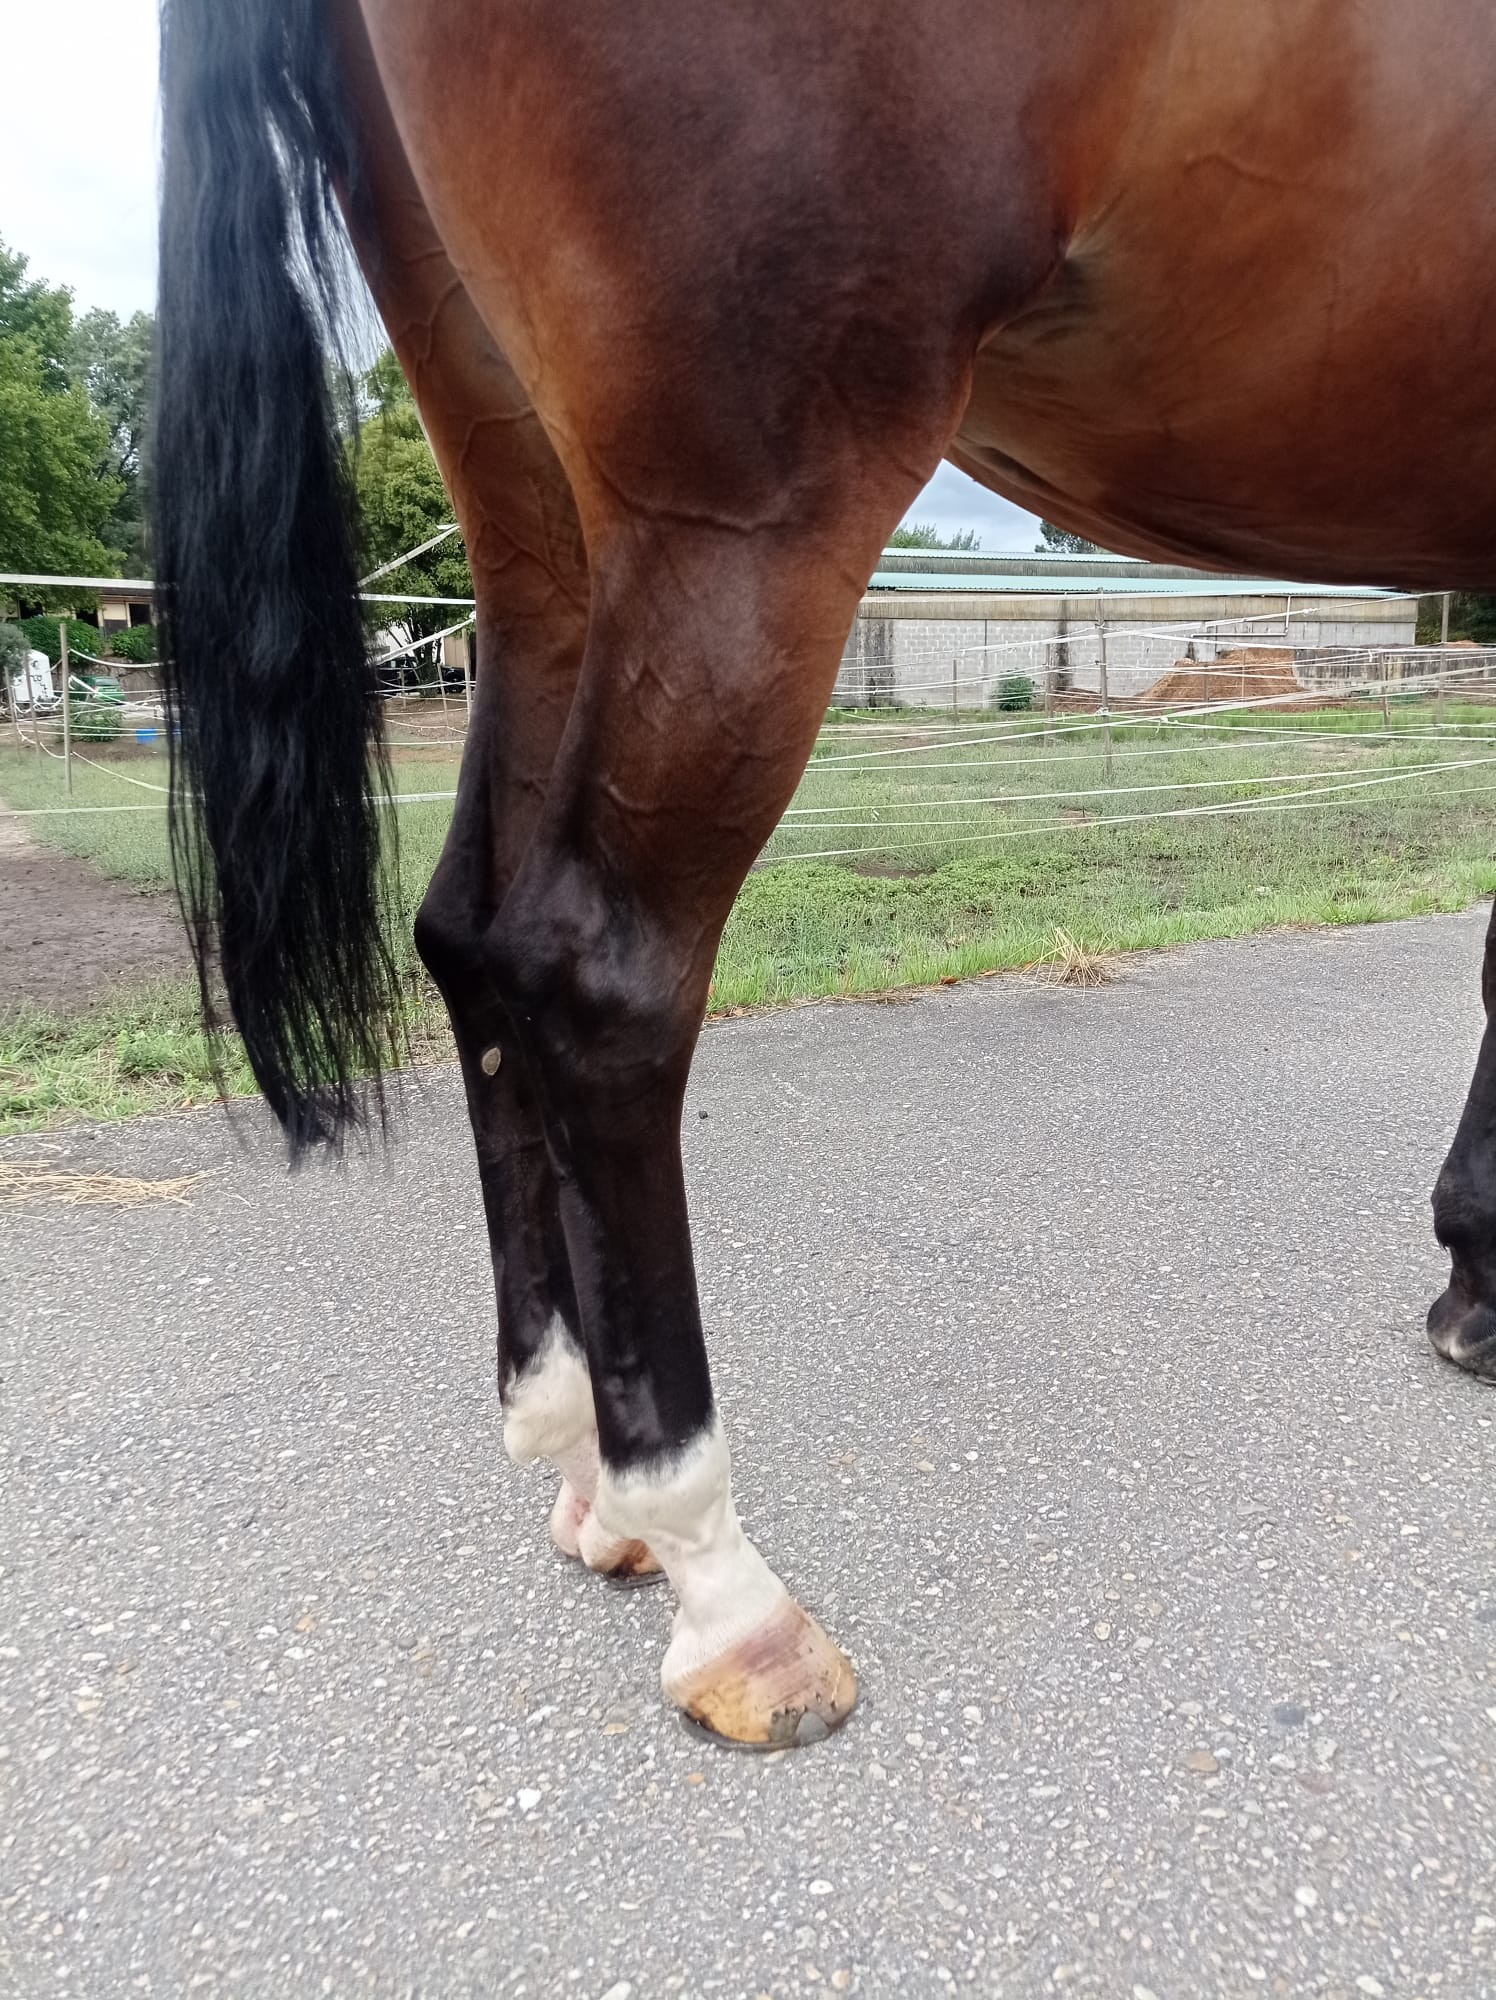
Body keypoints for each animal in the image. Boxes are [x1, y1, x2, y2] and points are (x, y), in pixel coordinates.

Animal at [152, 0, 1496, 1749]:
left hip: (528, 499)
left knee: (466, 938)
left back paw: (580, 1465)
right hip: (747, 514)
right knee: (601, 979)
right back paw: (724, 1587)